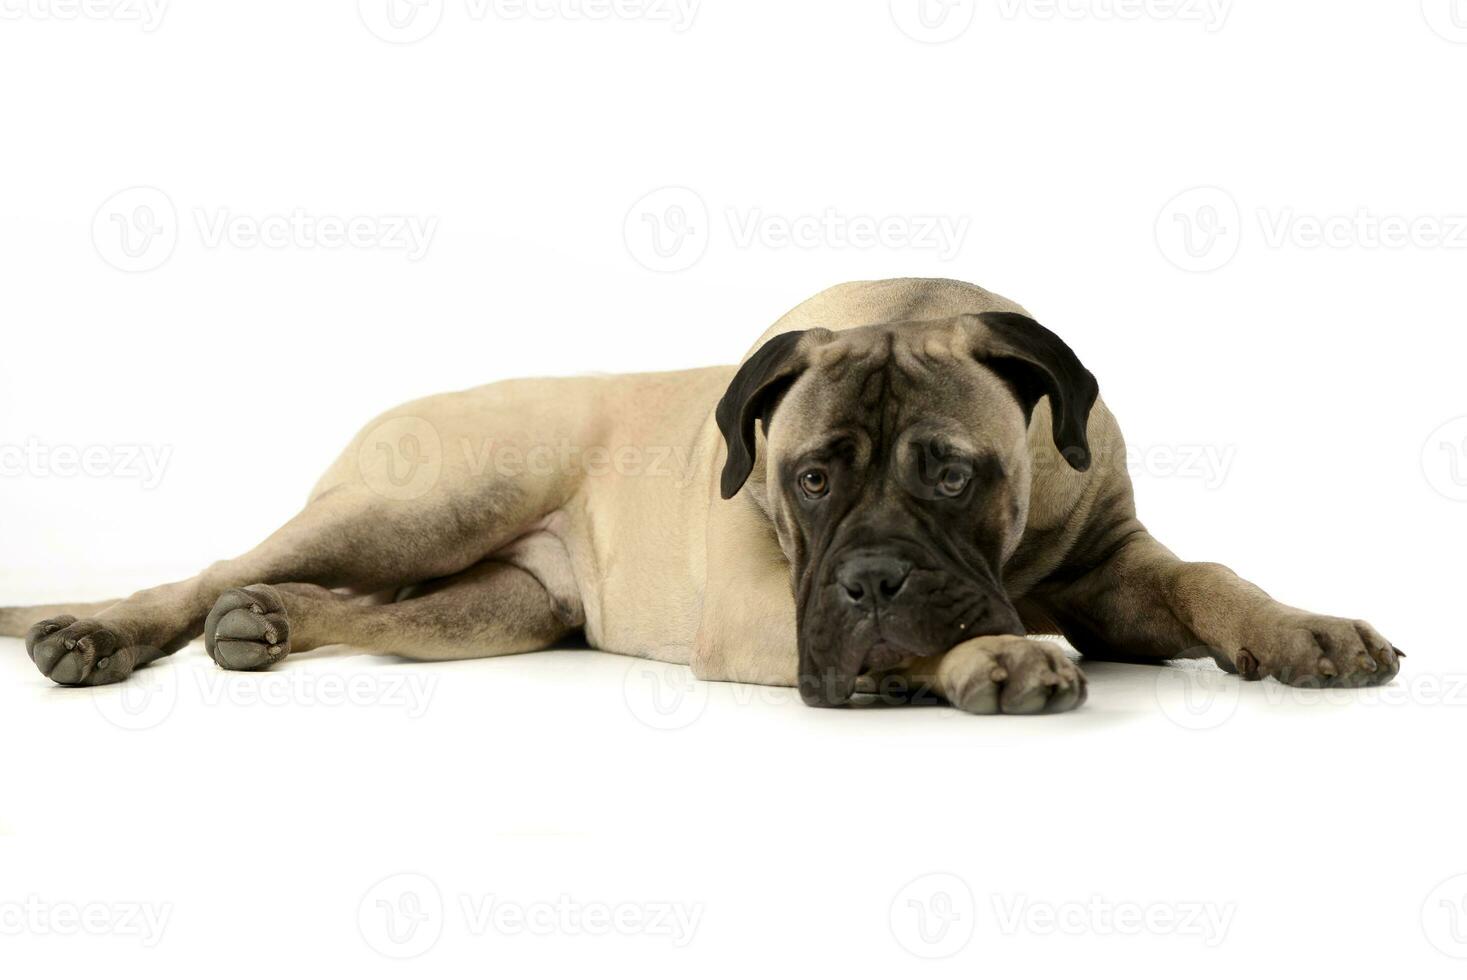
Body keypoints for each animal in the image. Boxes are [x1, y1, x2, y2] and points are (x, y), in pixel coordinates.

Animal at [0, 275, 1396, 712]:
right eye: (810, 478)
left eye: (955, 470)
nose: (871, 572)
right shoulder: (764, 603)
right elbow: (905, 637)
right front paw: (992, 653)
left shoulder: (1118, 566)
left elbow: (1210, 575)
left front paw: (1307, 631)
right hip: (422, 502)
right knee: (214, 564)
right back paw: (97, 630)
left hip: (494, 607)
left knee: (336, 600)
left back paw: (267, 623)